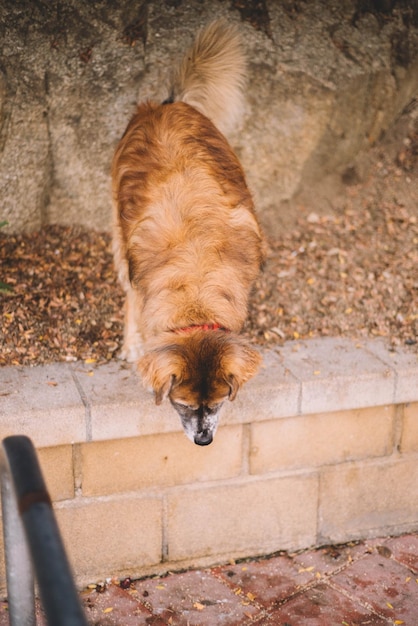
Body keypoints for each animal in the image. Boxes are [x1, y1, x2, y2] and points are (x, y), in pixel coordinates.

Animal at [112, 17, 264, 442]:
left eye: (217, 404)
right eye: (182, 405)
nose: (203, 440)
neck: (195, 291)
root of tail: (166, 105)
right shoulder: (140, 275)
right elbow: (136, 305)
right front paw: (135, 345)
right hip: (118, 231)